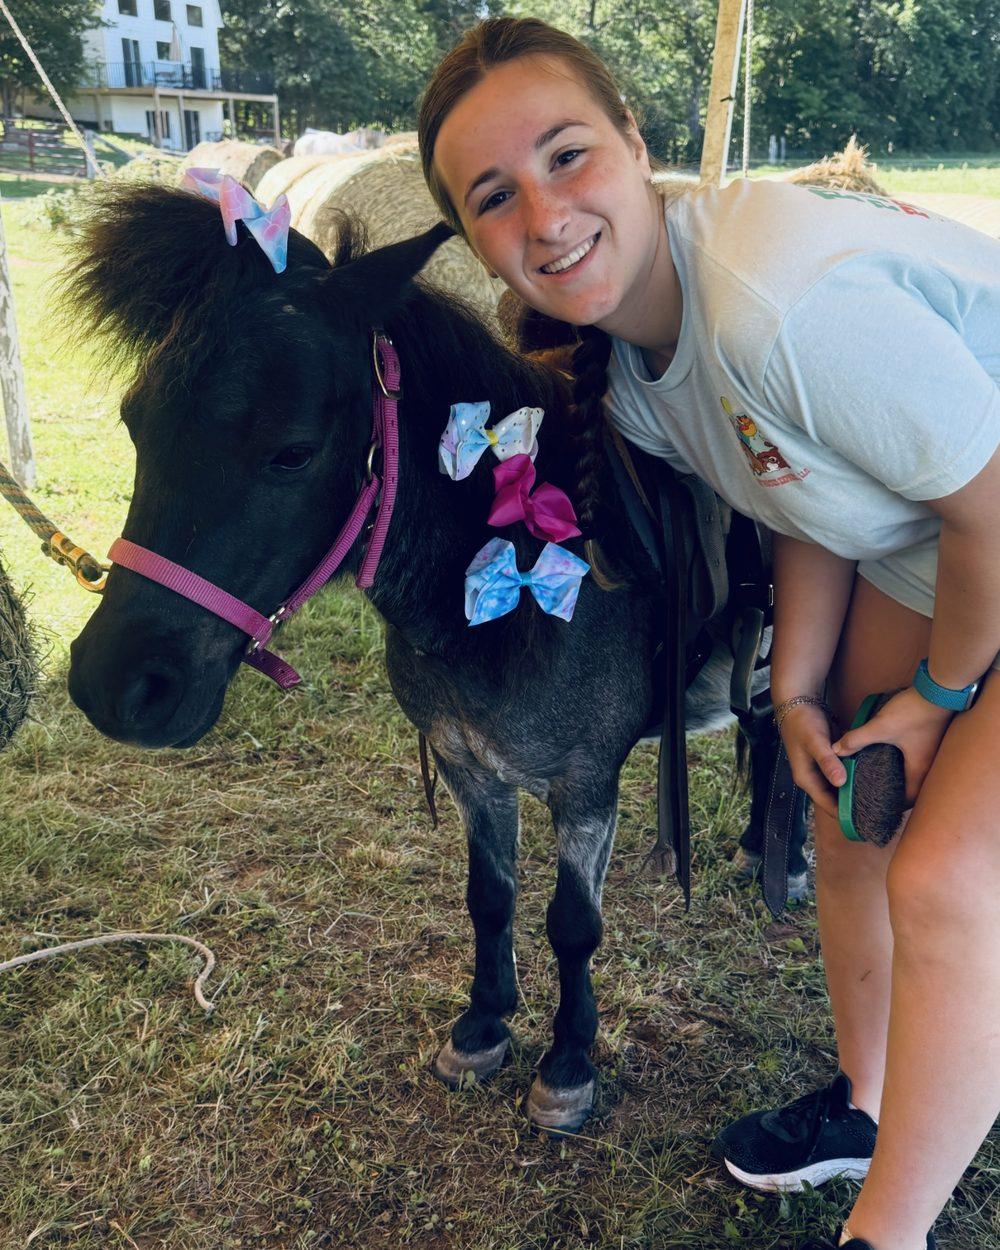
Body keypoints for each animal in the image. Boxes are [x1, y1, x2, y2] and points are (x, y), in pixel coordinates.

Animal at [64, 182, 805, 1133]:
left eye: (293, 452)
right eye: (134, 423)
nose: (117, 687)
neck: (508, 584)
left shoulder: (584, 784)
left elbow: (573, 924)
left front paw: (569, 1063)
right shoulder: (468, 765)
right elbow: (490, 899)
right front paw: (483, 1027)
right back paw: (760, 849)